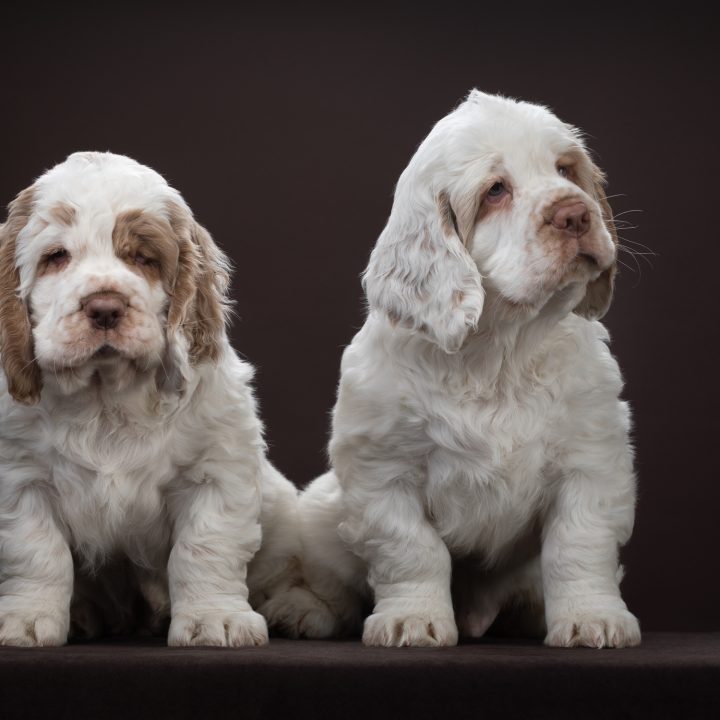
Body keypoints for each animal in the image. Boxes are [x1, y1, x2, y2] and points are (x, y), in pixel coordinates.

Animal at [0, 152, 316, 648]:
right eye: (57, 257)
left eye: (142, 258)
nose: (105, 307)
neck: (106, 397)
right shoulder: (20, 480)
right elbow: (36, 552)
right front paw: (26, 619)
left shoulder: (216, 473)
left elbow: (203, 549)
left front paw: (215, 620)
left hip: (281, 507)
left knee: (288, 567)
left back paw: (299, 609)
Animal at [264, 88, 640, 648]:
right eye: (495, 191)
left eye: (566, 170)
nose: (576, 214)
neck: (499, 352)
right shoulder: (384, 473)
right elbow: (413, 551)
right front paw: (412, 620)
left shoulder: (591, 460)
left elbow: (578, 547)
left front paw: (593, 619)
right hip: (320, 511)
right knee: (329, 580)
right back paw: (301, 610)